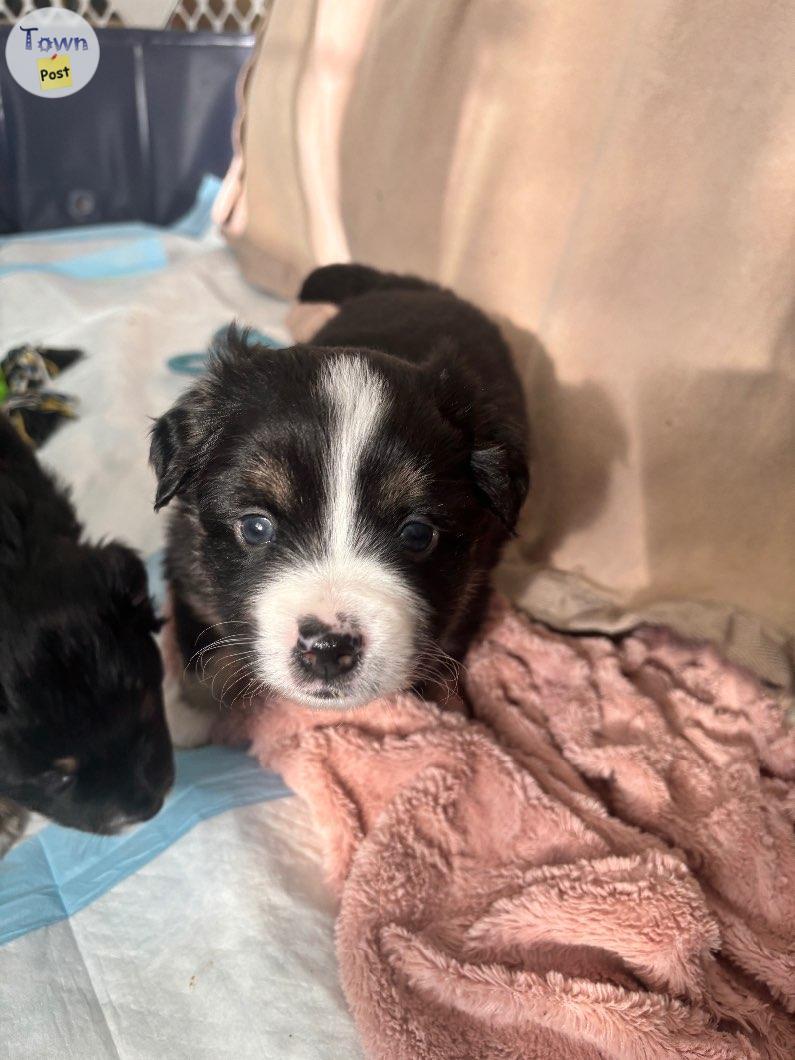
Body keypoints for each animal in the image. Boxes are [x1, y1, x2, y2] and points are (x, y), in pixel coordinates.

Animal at [152, 261, 532, 741]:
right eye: (255, 527)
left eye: (418, 534)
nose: (329, 648)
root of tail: (418, 287)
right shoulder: (188, 558)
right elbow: (200, 643)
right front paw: (187, 724)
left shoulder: (473, 583)